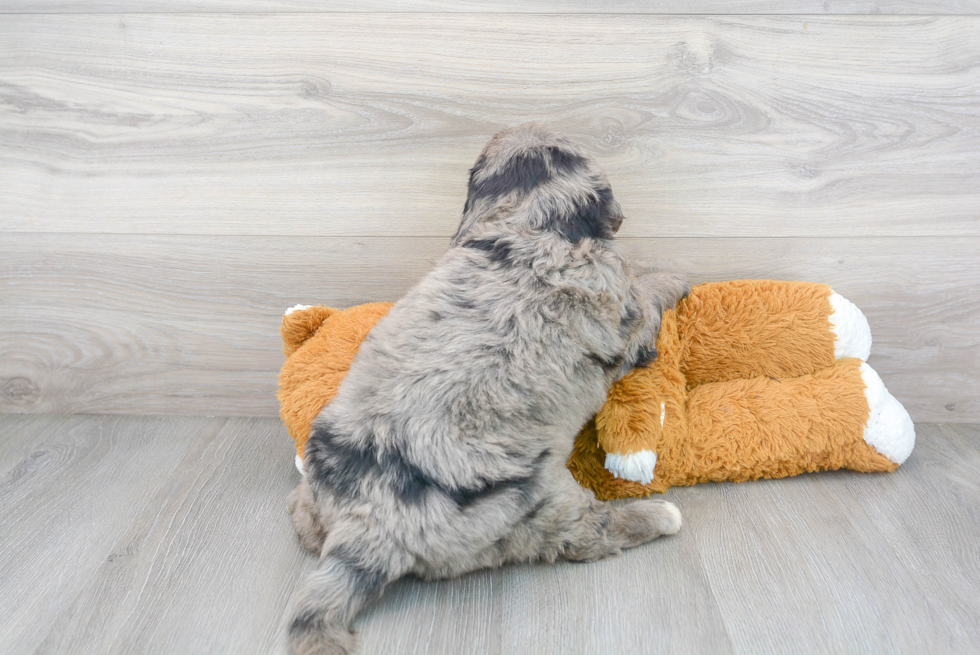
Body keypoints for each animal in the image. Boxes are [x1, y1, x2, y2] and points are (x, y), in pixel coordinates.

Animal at [286, 124, 688, 655]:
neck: (529, 226)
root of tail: (367, 526)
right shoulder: (626, 313)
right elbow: (647, 293)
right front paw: (674, 278)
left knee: (304, 519)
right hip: (538, 506)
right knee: (586, 534)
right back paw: (659, 515)